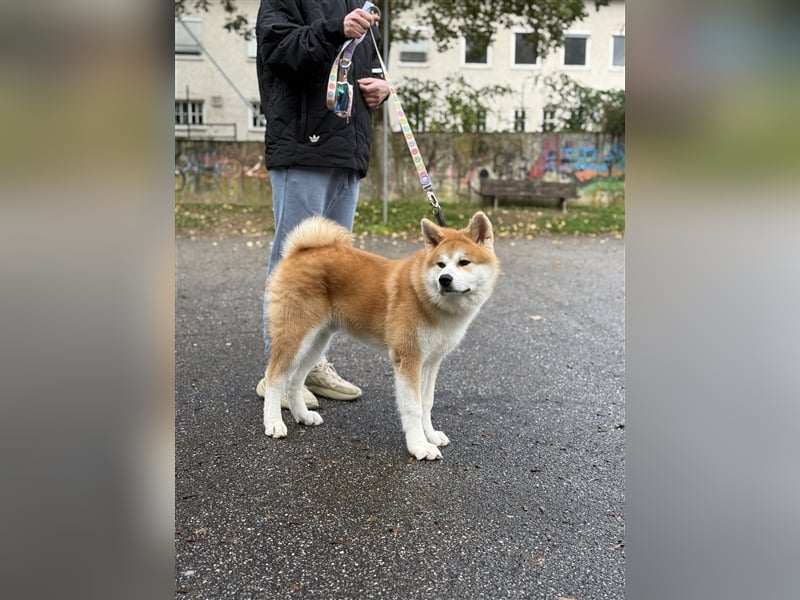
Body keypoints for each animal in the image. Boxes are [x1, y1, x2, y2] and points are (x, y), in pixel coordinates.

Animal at [262, 211, 500, 460]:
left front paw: (431, 435)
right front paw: (419, 446)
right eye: (441, 264)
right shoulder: (408, 358)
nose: (444, 279)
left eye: (464, 262)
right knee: (275, 376)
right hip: (296, 335)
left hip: (317, 341)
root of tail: (299, 251)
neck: (427, 297)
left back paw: (303, 415)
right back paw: (273, 423)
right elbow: (413, 407)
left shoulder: (431, 361)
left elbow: (426, 402)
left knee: (295, 379)